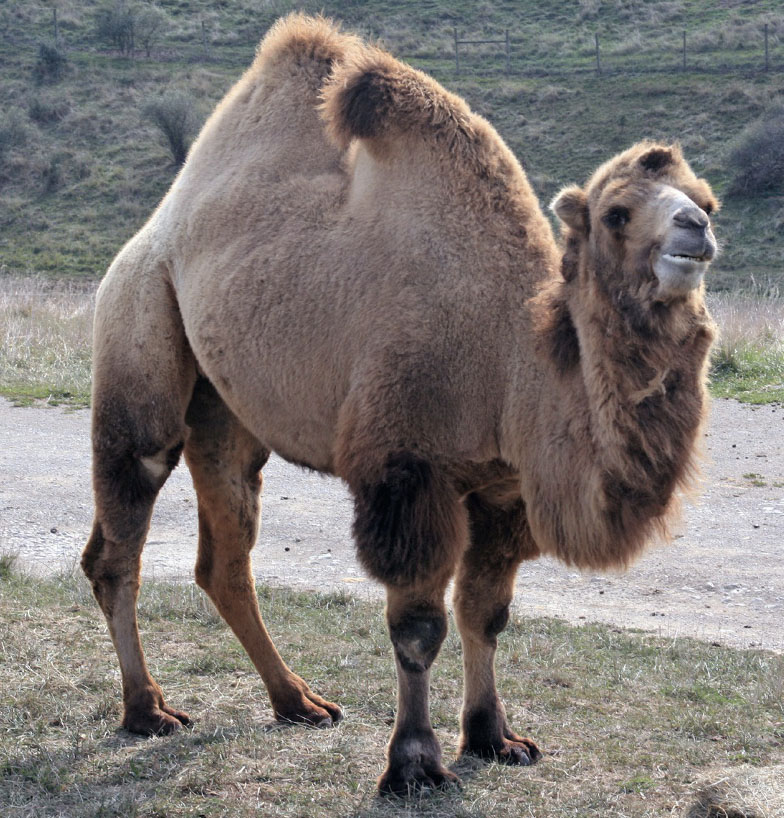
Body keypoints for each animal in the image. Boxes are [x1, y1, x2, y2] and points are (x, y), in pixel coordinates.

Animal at [82, 14, 719, 795]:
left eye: (705, 199)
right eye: (617, 212)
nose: (696, 231)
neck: (508, 354)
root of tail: (151, 231)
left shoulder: (504, 486)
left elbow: (486, 612)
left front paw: (494, 737)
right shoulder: (407, 467)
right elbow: (418, 625)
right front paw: (414, 765)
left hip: (226, 411)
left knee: (224, 555)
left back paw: (297, 701)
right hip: (140, 317)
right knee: (124, 519)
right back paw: (147, 710)